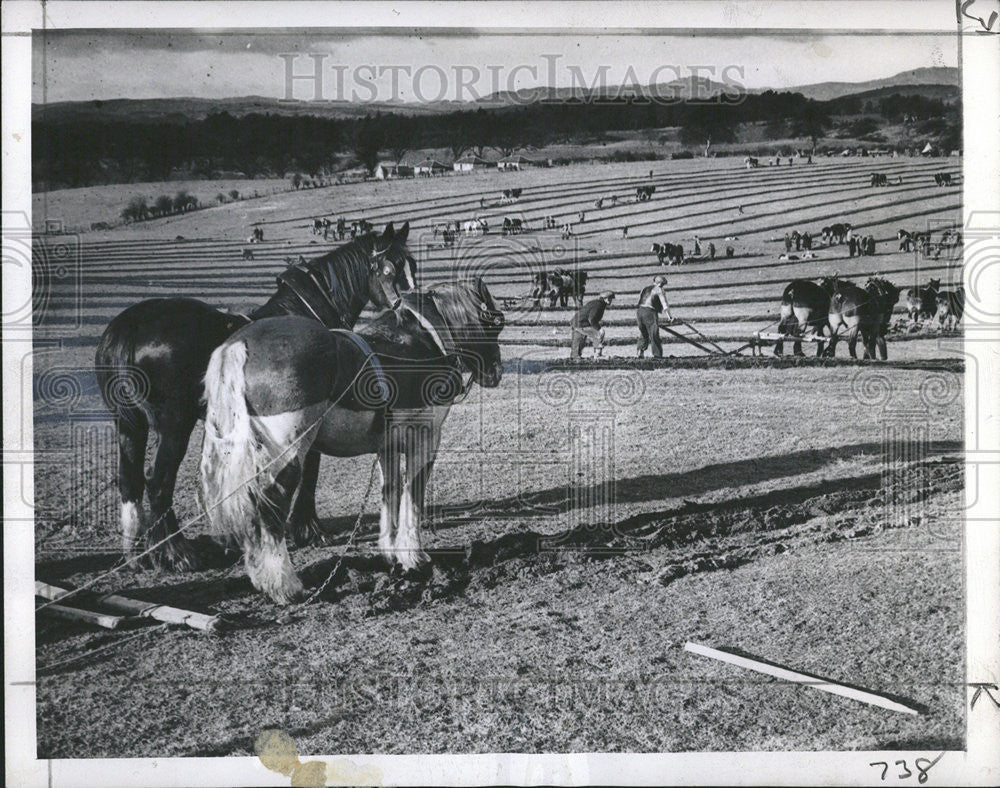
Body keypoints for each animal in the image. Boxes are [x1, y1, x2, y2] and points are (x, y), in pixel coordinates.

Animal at [96, 225, 414, 568]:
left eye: (411, 264)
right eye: (389, 269)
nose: (410, 311)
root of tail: (128, 328)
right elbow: (310, 470)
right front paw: (308, 528)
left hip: (130, 424)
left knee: (129, 481)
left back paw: (138, 552)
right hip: (174, 424)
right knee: (157, 482)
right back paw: (176, 552)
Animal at [198, 278, 504, 604]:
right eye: (494, 322)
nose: (496, 371)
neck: (422, 343)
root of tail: (238, 346)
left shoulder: (387, 447)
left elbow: (390, 492)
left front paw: (391, 552)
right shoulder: (426, 439)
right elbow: (413, 493)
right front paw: (413, 556)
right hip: (287, 455)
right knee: (271, 508)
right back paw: (285, 585)